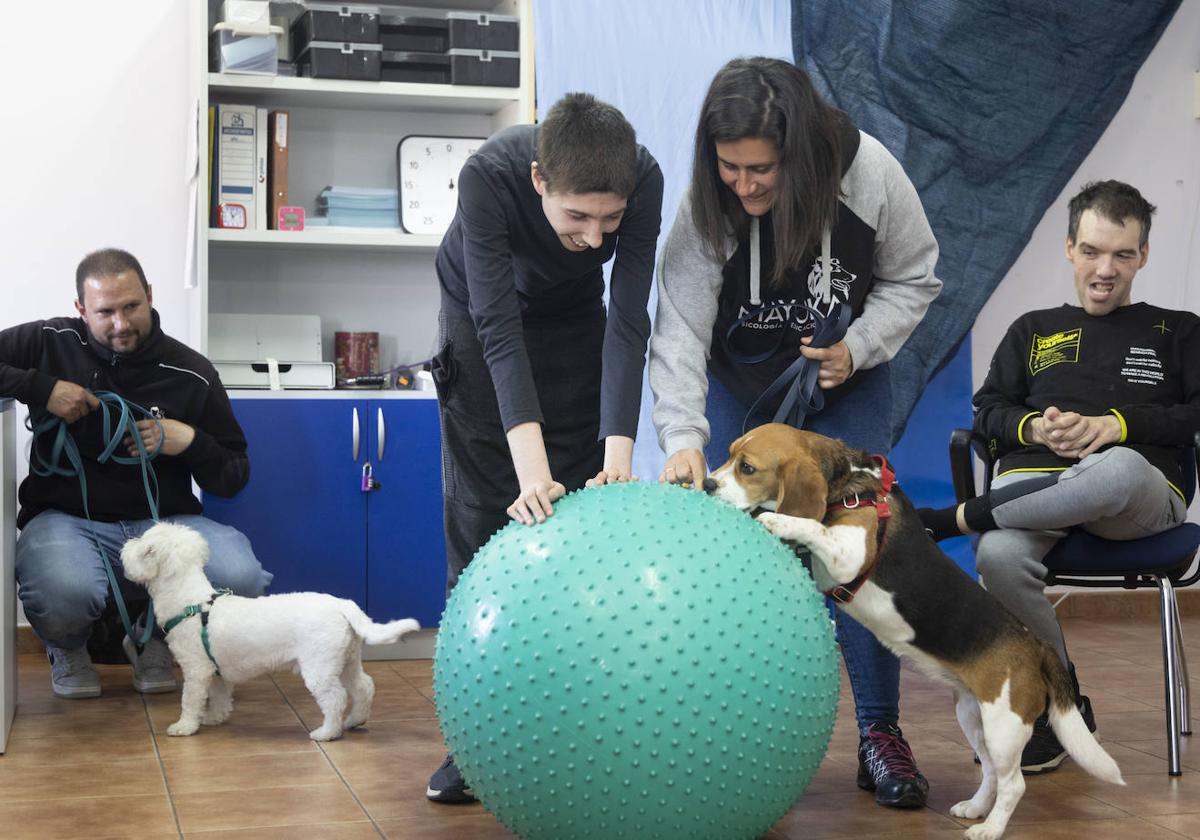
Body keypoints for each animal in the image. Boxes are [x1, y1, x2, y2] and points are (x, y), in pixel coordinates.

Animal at [121, 520, 420, 739]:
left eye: (143, 547)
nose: (126, 544)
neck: (191, 602)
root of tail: (342, 605)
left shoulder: (196, 669)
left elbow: (190, 700)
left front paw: (184, 726)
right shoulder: (215, 671)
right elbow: (218, 697)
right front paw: (215, 718)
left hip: (320, 665)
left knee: (335, 697)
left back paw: (327, 732)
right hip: (347, 659)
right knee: (363, 686)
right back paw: (355, 720)